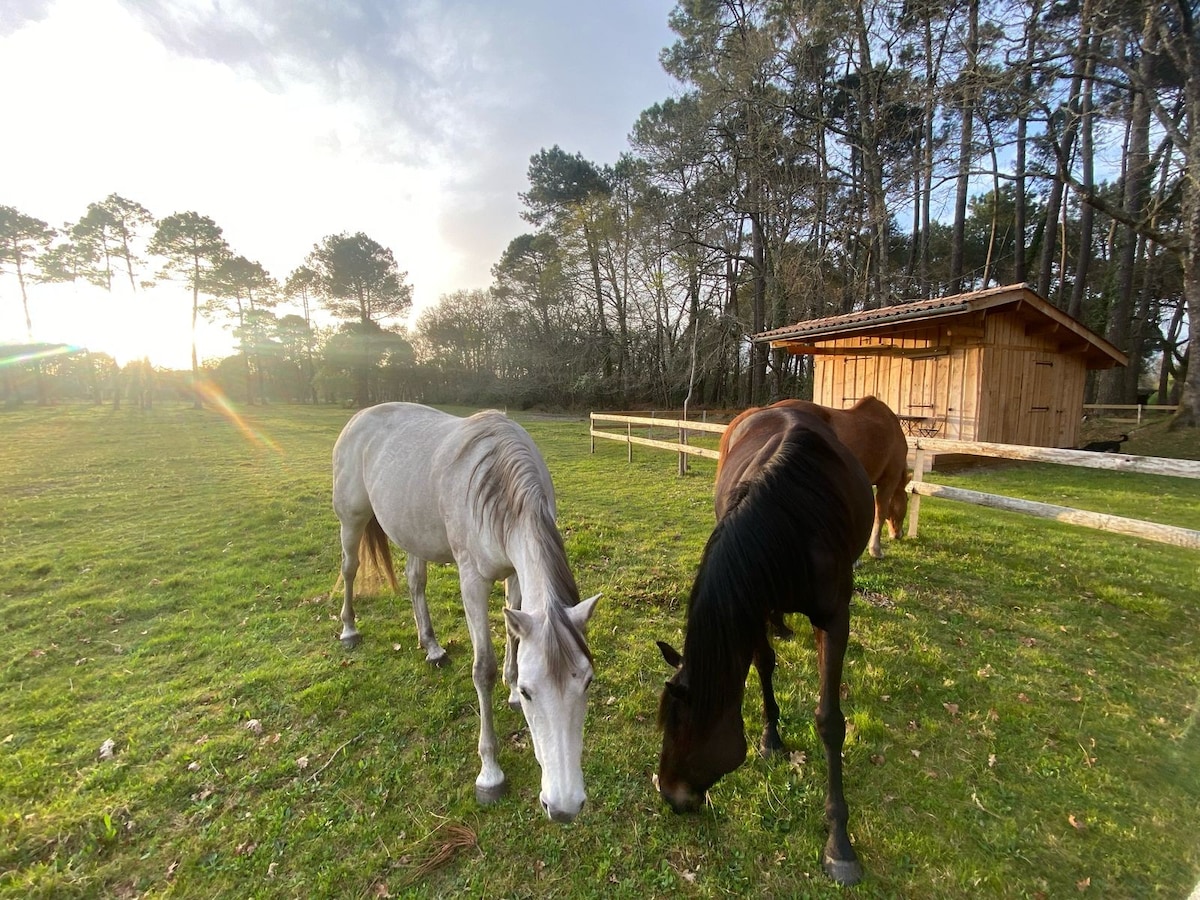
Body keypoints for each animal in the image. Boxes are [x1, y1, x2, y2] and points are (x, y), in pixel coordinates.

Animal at [332, 402, 599, 823]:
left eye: (586, 683)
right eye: (531, 691)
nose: (564, 807)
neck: (498, 483)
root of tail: (359, 417)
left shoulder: (514, 573)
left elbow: (513, 637)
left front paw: (508, 689)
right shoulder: (472, 581)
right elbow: (482, 668)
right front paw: (490, 773)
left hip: (413, 533)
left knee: (415, 582)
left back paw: (432, 647)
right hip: (351, 521)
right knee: (349, 569)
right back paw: (349, 630)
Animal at [656, 404, 874, 885]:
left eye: (679, 726)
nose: (668, 795)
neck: (792, 526)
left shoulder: (835, 619)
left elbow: (830, 721)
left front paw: (839, 843)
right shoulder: (750, 603)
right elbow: (765, 664)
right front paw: (771, 736)